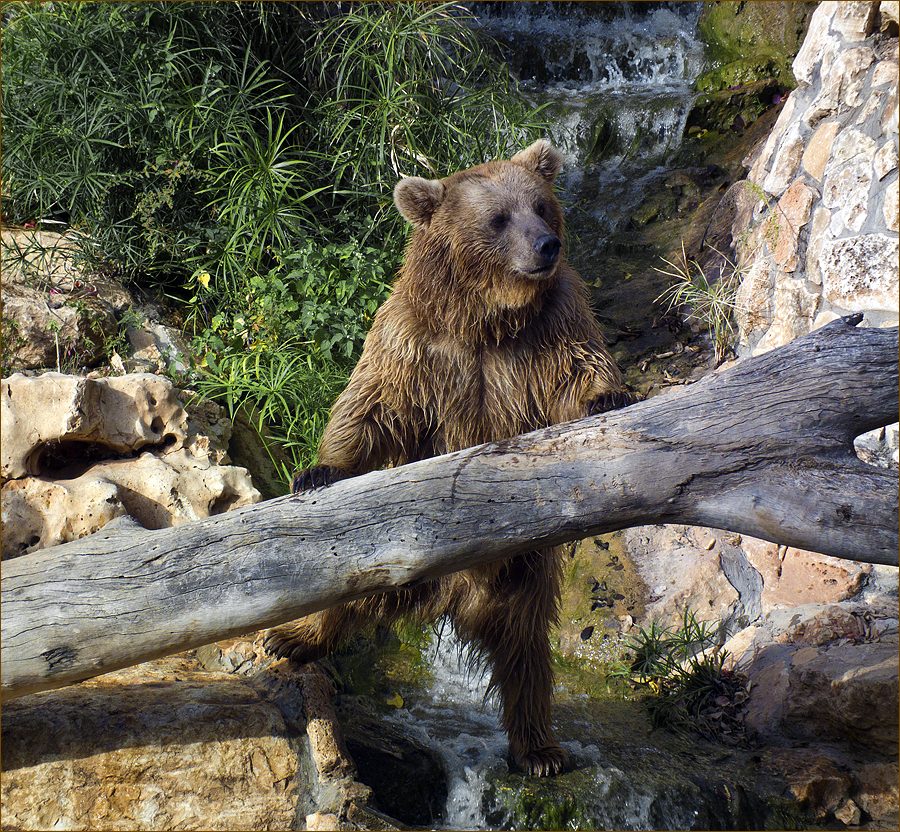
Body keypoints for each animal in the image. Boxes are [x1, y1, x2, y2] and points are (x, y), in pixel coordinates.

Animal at [266, 140, 632, 776]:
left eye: (541, 205)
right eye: (499, 218)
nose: (547, 245)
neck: (487, 319)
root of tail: (449, 598)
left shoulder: (552, 328)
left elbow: (579, 370)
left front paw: (608, 394)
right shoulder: (416, 341)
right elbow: (372, 403)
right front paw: (318, 469)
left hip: (523, 576)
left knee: (526, 654)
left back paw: (539, 748)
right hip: (382, 556)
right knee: (342, 593)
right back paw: (292, 636)